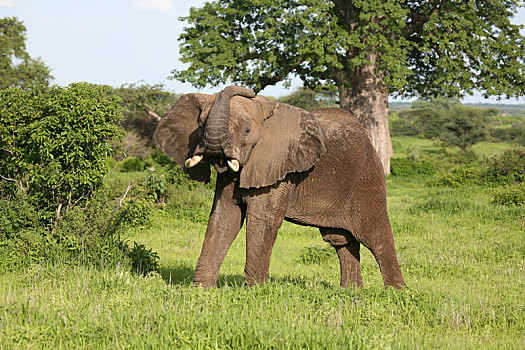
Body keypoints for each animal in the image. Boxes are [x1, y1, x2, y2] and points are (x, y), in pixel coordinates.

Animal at [152, 85, 406, 290]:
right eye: (200, 126)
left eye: (247, 131)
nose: (249, 90)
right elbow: (224, 216)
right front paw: (201, 291)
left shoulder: (279, 168)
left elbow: (262, 220)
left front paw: (255, 292)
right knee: (340, 240)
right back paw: (351, 293)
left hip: (366, 177)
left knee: (376, 236)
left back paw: (395, 293)